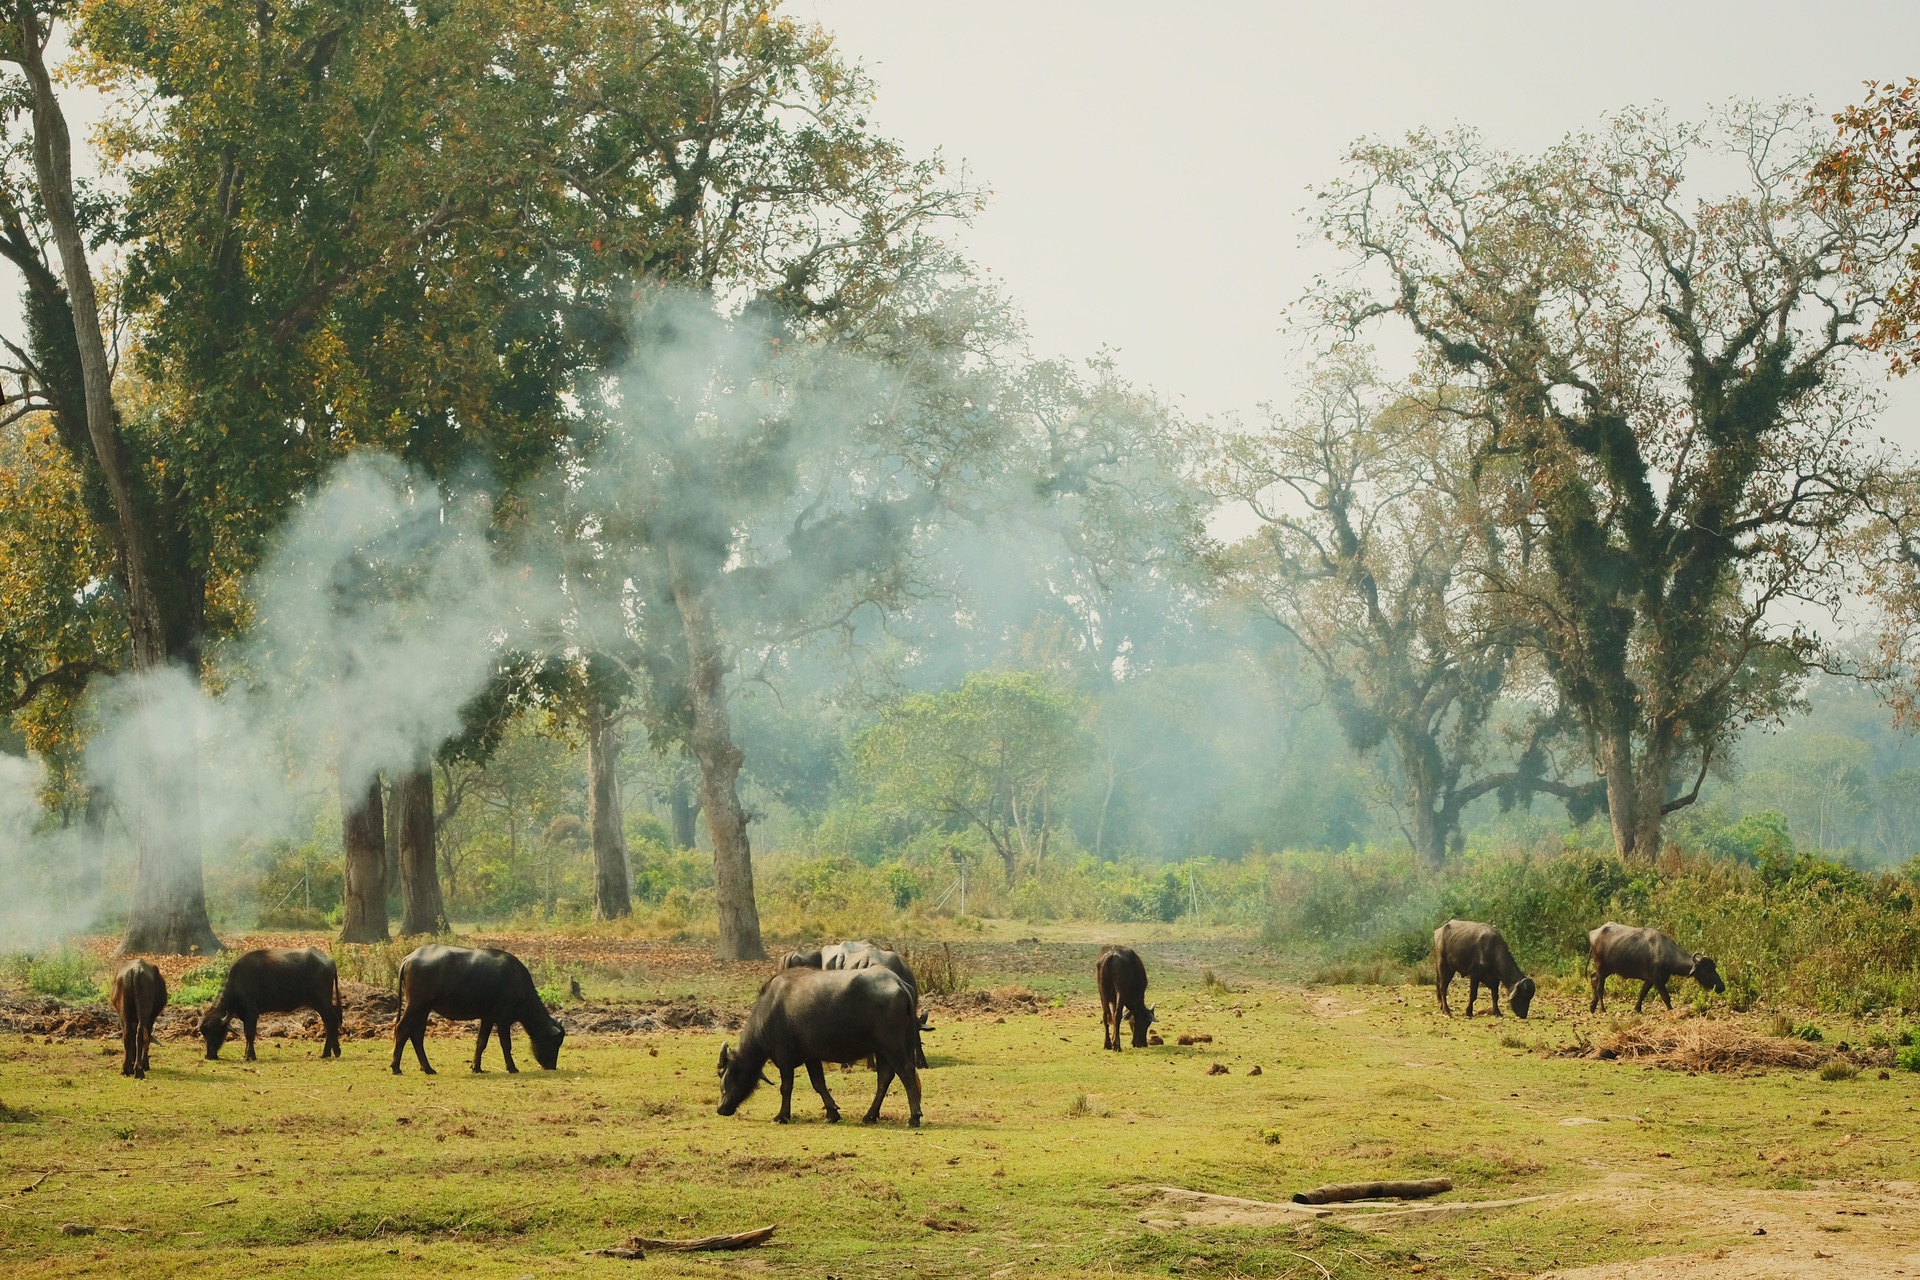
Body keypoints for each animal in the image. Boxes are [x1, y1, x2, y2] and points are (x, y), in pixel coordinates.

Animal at [200, 940, 343, 1059]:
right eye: (204, 1034)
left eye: (215, 1032)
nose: (209, 1056)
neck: (238, 984)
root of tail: (330, 961)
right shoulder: (245, 1016)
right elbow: (247, 1034)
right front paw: (247, 1054)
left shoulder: (252, 1012)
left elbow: (250, 1033)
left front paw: (250, 1056)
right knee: (329, 1022)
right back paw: (330, 1052)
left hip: (321, 1001)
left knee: (331, 1021)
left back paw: (330, 1052)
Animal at [387, 948, 560, 1074]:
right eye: (554, 1042)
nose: (552, 1066)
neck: (517, 983)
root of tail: (409, 958)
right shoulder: (503, 1019)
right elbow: (506, 1044)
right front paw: (512, 1067)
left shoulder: (488, 1018)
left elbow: (481, 1042)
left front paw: (476, 1067)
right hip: (415, 1004)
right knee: (402, 1029)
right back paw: (396, 1067)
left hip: (424, 1008)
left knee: (416, 1034)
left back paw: (427, 1068)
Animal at [721, 967, 925, 1128]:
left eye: (727, 1078)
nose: (721, 1108)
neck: (769, 1009)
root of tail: (898, 982)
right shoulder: (811, 1057)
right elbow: (818, 1083)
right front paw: (832, 1113)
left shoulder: (784, 1056)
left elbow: (786, 1086)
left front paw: (782, 1116)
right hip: (882, 1050)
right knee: (885, 1077)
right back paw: (870, 1116)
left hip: (892, 1046)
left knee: (906, 1072)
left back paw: (914, 1118)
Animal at [1582, 924, 1735, 1013]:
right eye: (1707, 970)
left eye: (1714, 967)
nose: (1721, 987)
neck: (1664, 953)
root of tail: (1594, 933)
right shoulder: (1658, 980)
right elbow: (1666, 997)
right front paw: (1670, 1009)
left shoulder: (1650, 980)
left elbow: (1642, 993)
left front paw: (1637, 1009)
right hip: (1601, 967)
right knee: (1600, 987)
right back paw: (1602, 1009)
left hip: (1607, 969)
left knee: (1593, 978)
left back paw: (1592, 1007)